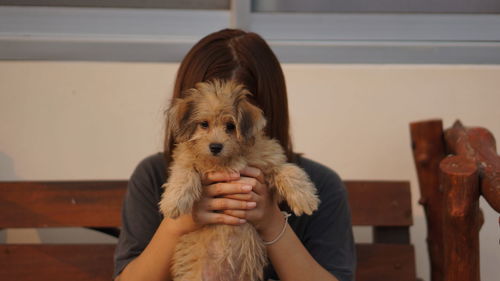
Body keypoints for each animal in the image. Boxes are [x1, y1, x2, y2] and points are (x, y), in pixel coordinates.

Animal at [160, 79, 320, 280]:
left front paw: (304, 198)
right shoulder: (186, 160)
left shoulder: (268, 161)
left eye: (230, 126)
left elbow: (288, 170)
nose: (215, 146)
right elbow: (184, 174)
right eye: (204, 124)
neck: (225, 161)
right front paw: (173, 202)